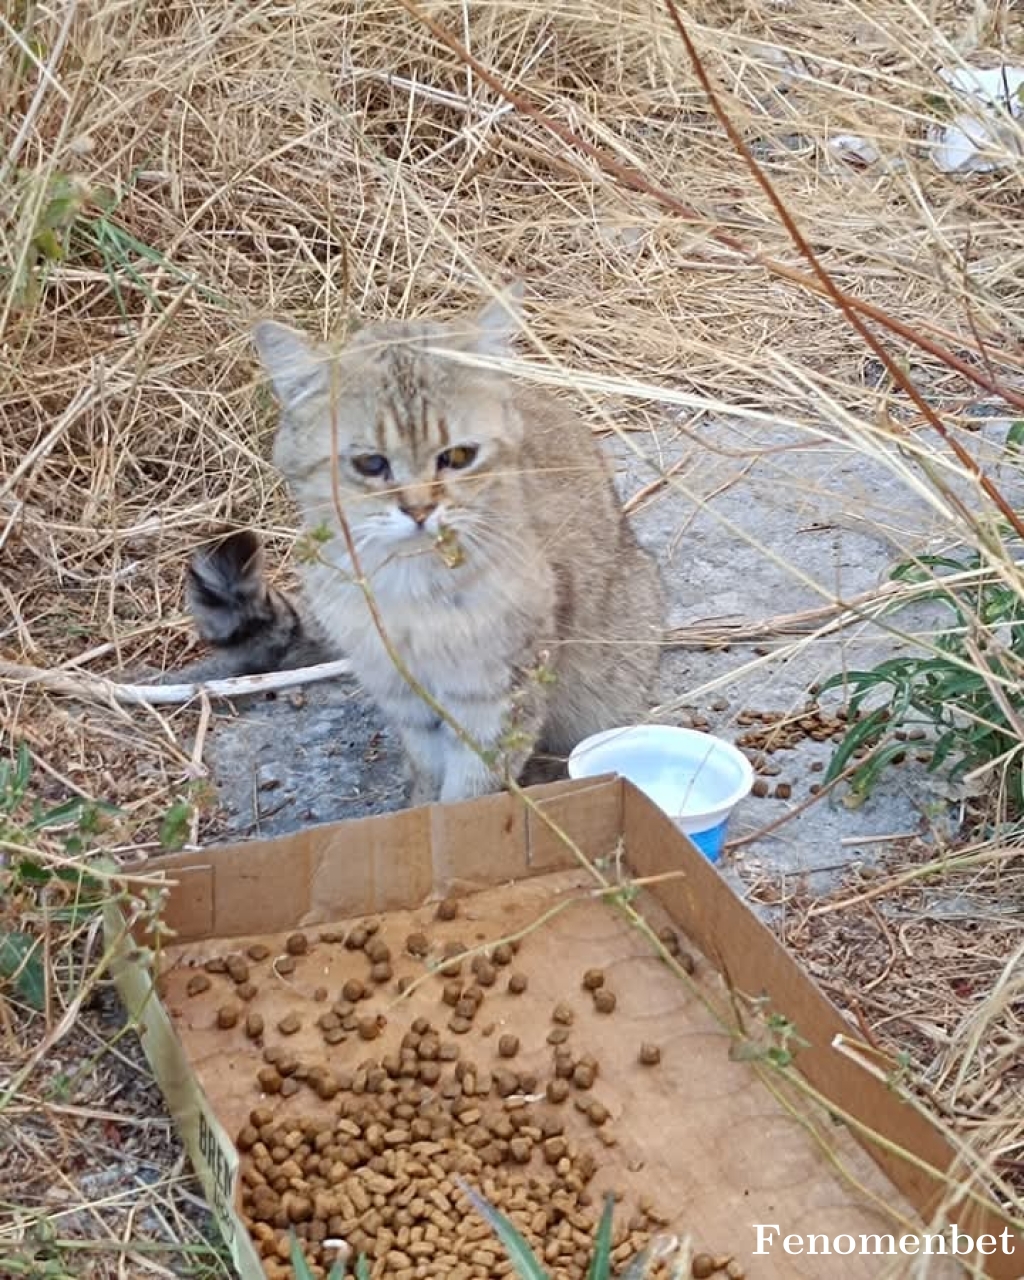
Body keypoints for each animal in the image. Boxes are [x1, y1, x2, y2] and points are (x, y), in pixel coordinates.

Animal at [183, 289, 665, 798]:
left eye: (459, 456)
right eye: (370, 464)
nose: (419, 510)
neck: (410, 584)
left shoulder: (497, 691)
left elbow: (472, 788)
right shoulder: (405, 693)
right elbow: (429, 774)